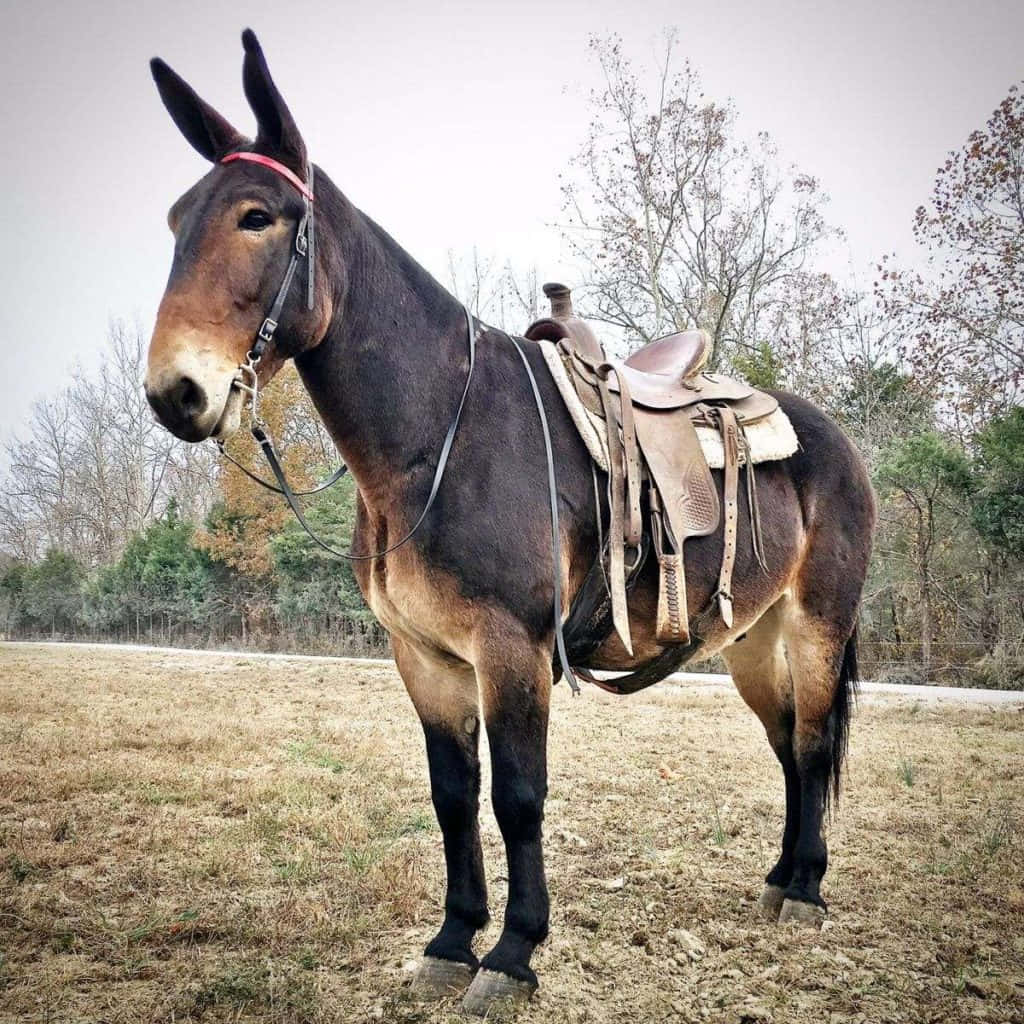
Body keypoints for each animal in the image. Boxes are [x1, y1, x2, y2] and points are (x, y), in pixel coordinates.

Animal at [143, 30, 876, 1016]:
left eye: (256, 216)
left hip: (816, 626)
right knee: (789, 749)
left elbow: (518, 796)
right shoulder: (426, 657)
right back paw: (778, 877)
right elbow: (453, 796)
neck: (435, 441)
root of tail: (832, 436)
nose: (175, 392)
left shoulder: (512, 650)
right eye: (177, 220)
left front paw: (514, 954)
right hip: (751, 642)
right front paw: (453, 941)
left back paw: (806, 891)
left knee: (812, 740)